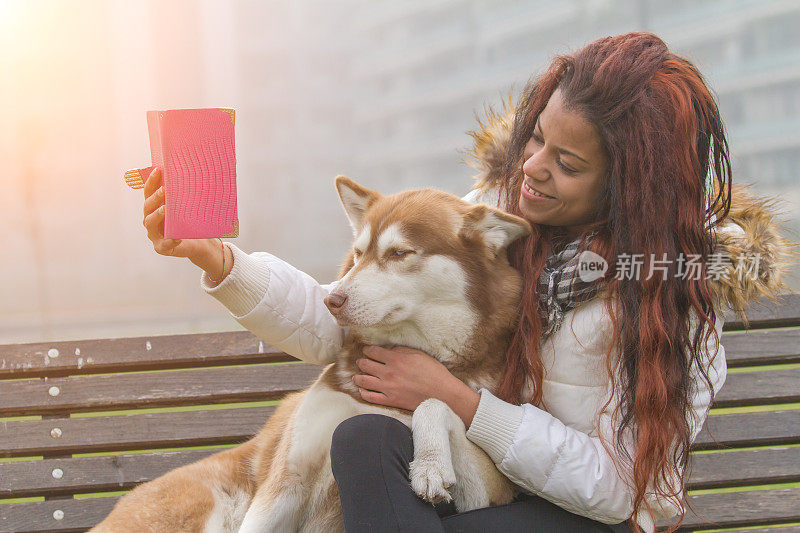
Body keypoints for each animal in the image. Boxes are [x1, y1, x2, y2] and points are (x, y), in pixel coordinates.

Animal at [92, 177, 532, 528]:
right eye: (359, 253)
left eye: (399, 253)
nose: (331, 299)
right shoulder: (287, 482)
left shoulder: (490, 493)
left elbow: (435, 401)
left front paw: (429, 464)